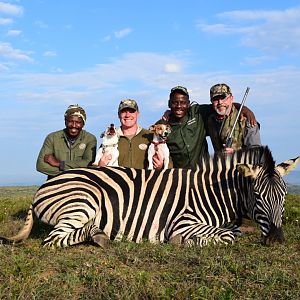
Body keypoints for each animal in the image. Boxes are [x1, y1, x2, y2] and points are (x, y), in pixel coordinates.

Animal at [0, 146, 298, 248]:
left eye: (284, 195)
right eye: (257, 195)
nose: (276, 239)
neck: (214, 193)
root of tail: (44, 185)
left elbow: (233, 231)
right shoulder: (183, 222)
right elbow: (227, 236)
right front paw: (184, 242)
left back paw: (98, 233)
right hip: (84, 200)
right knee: (53, 239)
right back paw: (100, 236)